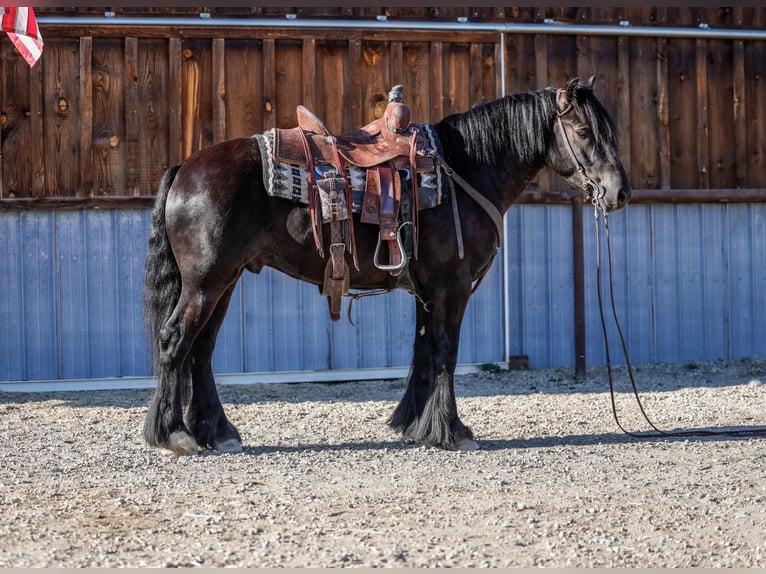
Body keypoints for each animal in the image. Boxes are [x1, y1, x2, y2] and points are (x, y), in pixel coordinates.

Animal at [142, 76, 631, 454]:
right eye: (583, 131)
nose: (619, 192)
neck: (466, 170)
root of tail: (185, 166)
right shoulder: (451, 286)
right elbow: (445, 351)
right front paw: (452, 432)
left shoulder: (427, 291)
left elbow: (422, 349)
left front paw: (415, 425)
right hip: (206, 283)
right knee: (175, 340)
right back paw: (173, 435)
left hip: (223, 282)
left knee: (201, 350)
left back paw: (217, 432)